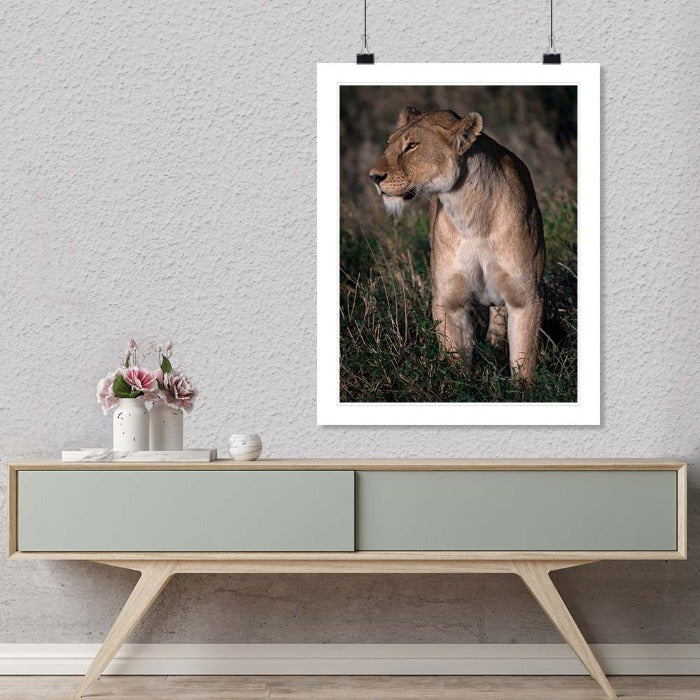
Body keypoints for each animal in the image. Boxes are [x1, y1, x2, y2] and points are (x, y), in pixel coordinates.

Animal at [369, 106, 545, 380]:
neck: (471, 217)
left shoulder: (526, 299)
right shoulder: (449, 301)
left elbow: (524, 363)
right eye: (389, 144)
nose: (374, 177)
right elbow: (455, 362)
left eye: (412, 146)